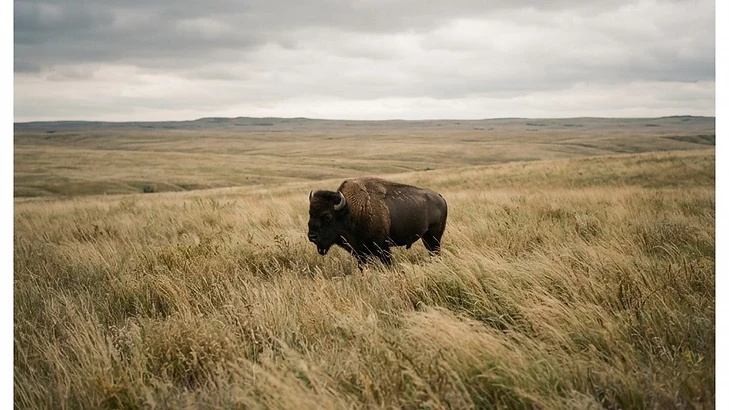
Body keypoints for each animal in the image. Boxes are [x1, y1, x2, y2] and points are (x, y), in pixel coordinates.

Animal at [307, 177, 447, 265]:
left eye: (327, 216)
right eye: (310, 213)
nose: (311, 236)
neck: (351, 210)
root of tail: (440, 197)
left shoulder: (382, 247)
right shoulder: (360, 251)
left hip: (434, 236)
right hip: (426, 236)